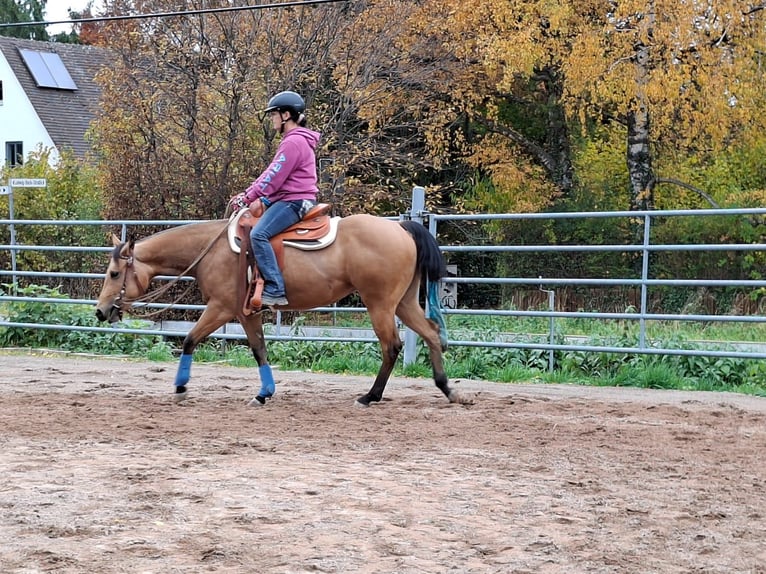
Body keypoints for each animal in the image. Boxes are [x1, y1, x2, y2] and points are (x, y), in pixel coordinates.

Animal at [94, 213, 466, 407]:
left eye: (113, 273)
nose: (100, 311)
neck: (210, 250)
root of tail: (401, 227)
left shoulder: (223, 308)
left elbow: (190, 340)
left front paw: (181, 387)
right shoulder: (248, 313)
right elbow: (259, 349)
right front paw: (265, 392)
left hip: (380, 305)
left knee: (392, 346)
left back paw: (370, 396)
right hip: (403, 303)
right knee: (431, 333)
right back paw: (448, 390)